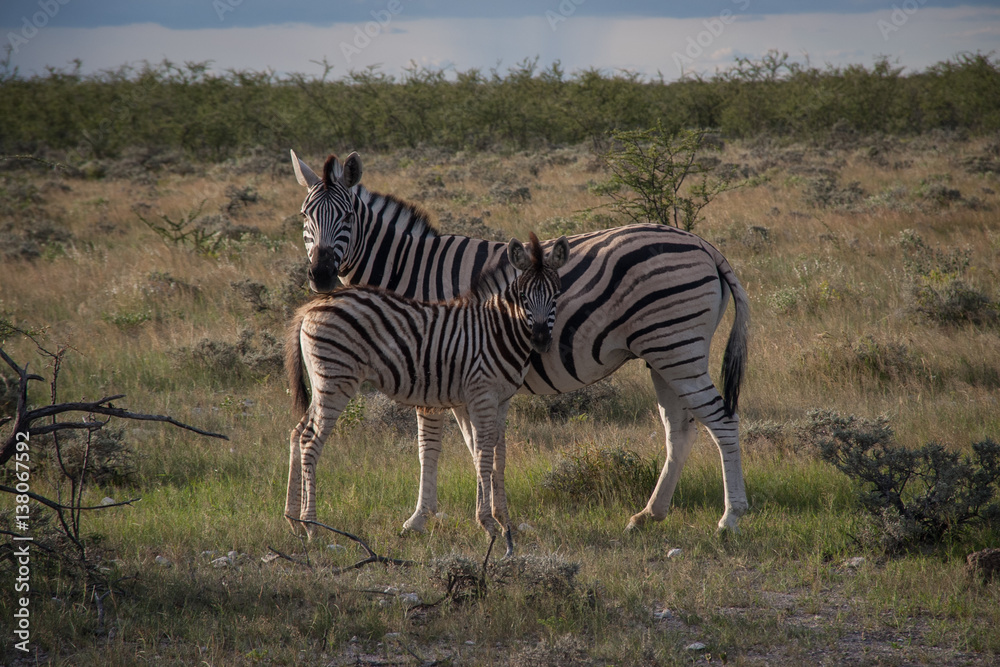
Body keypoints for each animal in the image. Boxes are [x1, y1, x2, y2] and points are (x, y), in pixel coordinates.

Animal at [285, 232, 570, 557]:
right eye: (523, 297)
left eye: (556, 295)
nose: (541, 341)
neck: (496, 330)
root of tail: (312, 305)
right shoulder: (482, 395)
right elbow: (483, 453)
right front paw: (488, 524)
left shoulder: (502, 400)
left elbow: (499, 456)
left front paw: (505, 522)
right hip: (335, 380)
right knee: (310, 441)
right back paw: (311, 526)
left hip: (322, 381)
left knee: (297, 433)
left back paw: (293, 520)